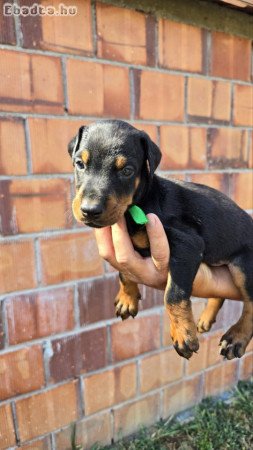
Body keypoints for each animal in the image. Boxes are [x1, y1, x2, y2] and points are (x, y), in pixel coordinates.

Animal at [67, 119, 253, 358]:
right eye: (80, 163)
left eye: (127, 171)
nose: (89, 210)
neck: (137, 204)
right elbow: (124, 273)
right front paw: (127, 298)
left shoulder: (188, 244)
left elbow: (173, 293)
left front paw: (183, 333)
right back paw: (206, 317)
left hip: (244, 265)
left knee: (251, 303)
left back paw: (236, 338)